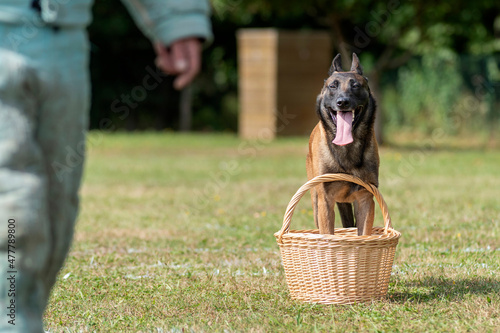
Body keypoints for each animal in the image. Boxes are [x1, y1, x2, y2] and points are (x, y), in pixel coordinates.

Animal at [304, 52, 378, 235]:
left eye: (356, 86)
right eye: (332, 86)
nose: (342, 102)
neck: (347, 150)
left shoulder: (365, 198)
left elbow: (363, 233)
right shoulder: (325, 201)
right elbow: (327, 234)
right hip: (316, 203)